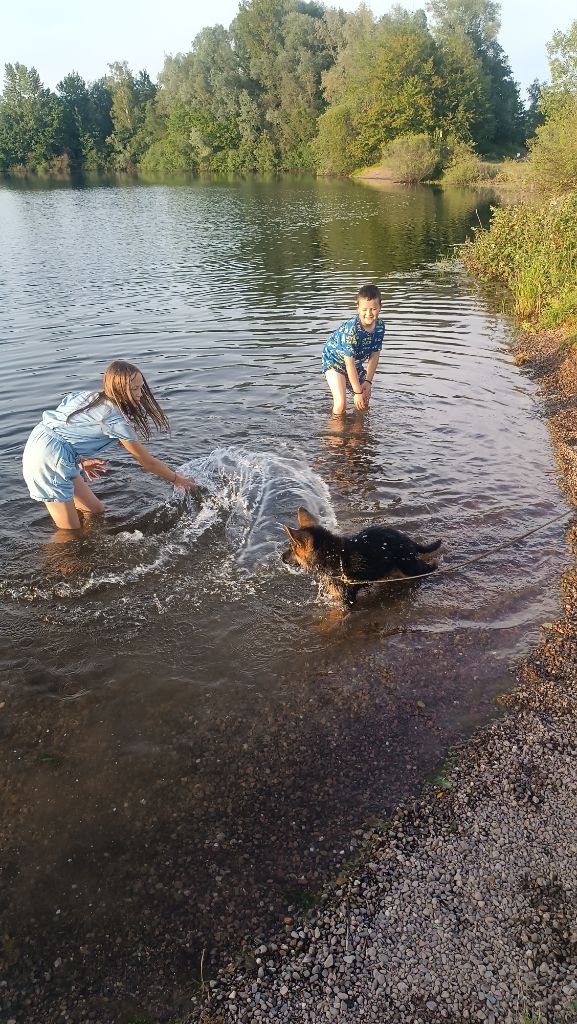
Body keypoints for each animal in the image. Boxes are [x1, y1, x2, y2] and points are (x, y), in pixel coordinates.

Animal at [282, 507, 442, 602]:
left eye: (291, 549)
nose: (281, 558)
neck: (332, 556)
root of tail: (408, 540)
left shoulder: (345, 598)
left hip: (409, 566)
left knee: (430, 567)